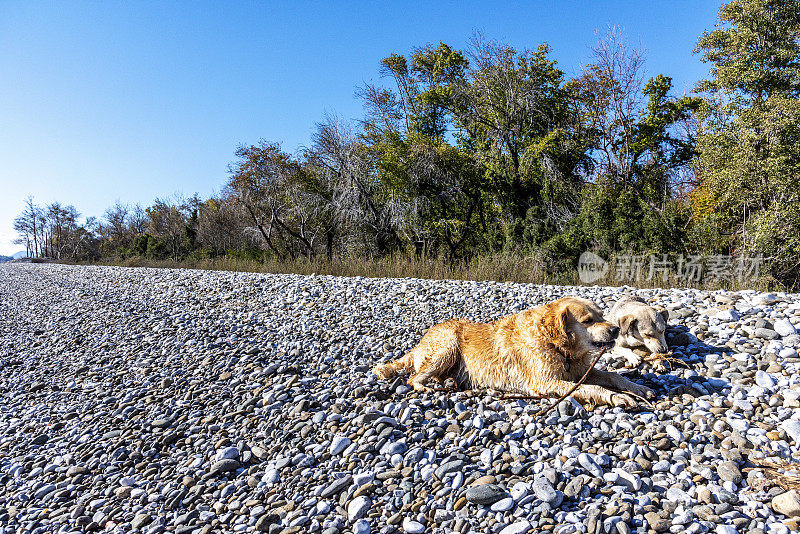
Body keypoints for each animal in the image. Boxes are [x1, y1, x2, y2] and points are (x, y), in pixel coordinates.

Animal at [372, 300, 652, 408]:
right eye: (588, 320)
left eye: (603, 315)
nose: (615, 330)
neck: (559, 347)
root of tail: (420, 341)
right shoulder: (546, 382)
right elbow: (592, 388)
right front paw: (617, 397)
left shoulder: (582, 370)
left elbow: (614, 377)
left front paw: (637, 387)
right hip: (447, 344)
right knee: (413, 378)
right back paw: (428, 387)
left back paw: (451, 381)